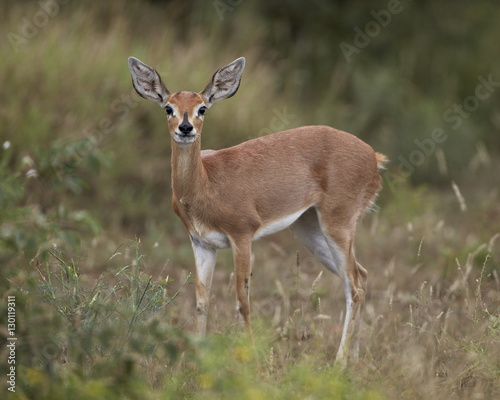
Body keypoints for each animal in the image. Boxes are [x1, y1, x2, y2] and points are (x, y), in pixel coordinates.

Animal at [128, 55, 386, 366]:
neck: (206, 183)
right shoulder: (202, 243)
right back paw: (355, 360)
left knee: (354, 286)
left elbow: (243, 300)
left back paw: (338, 363)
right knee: (361, 276)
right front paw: (198, 360)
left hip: (338, 224)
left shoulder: (241, 236)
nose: (186, 128)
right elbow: (202, 300)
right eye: (169, 107)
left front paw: (251, 359)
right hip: (310, 230)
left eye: (202, 108)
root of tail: (373, 156)